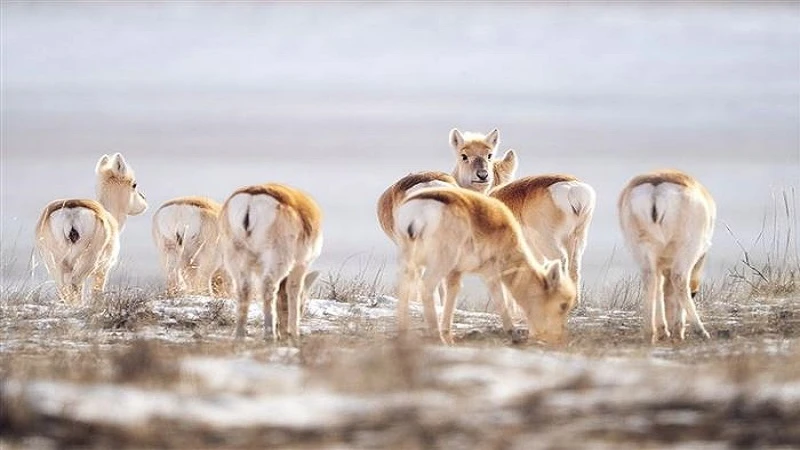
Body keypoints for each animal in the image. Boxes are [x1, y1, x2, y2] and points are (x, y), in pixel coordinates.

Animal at [34, 153, 148, 304]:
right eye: (134, 184)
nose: (144, 200)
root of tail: (71, 213)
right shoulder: (103, 269)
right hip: (88, 261)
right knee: (75, 283)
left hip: (56, 264)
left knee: (63, 288)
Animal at [219, 183, 322, 342]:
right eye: (303, 303)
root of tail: (251, 199)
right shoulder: (301, 264)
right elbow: (294, 290)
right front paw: (294, 332)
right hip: (277, 258)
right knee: (268, 287)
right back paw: (269, 335)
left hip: (236, 257)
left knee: (244, 289)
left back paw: (240, 335)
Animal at [394, 186, 576, 344]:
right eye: (563, 305)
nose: (557, 338)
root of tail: (417, 213)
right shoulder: (490, 273)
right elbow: (500, 301)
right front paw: (514, 334)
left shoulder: (455, 273)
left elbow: (451, 297)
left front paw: (449, 336)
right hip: (441, 262)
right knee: (426, 286)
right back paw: (436, 337)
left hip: (409, 261)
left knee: (404, 288)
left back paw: (404, 333)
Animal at [620, 171, 712, 342]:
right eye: (694, 294)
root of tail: (656, 185)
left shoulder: (659, 264)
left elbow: (660, 288)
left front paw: (663, 330)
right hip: (686, 250)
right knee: (679, 279)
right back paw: (698, 331)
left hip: (645, 252)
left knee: (650, 281)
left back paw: (650, 333)